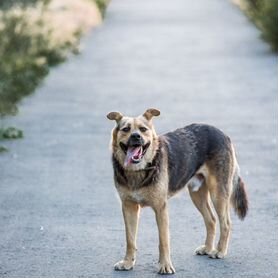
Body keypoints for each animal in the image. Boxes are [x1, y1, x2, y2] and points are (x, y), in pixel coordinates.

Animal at [107, 108, 249, 274]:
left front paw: (165, 266)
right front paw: (128, 262)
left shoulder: (160, 208)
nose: (136, 136)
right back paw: (207, 248)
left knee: (225, 223)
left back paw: (219, 251)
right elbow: (130, 239)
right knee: (211, 220)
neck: (138, 170)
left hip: (218, 193)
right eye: (125, 129)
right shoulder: (128, 207)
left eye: (143, 129)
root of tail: (222, 134)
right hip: (197, 194)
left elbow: (163, 240)